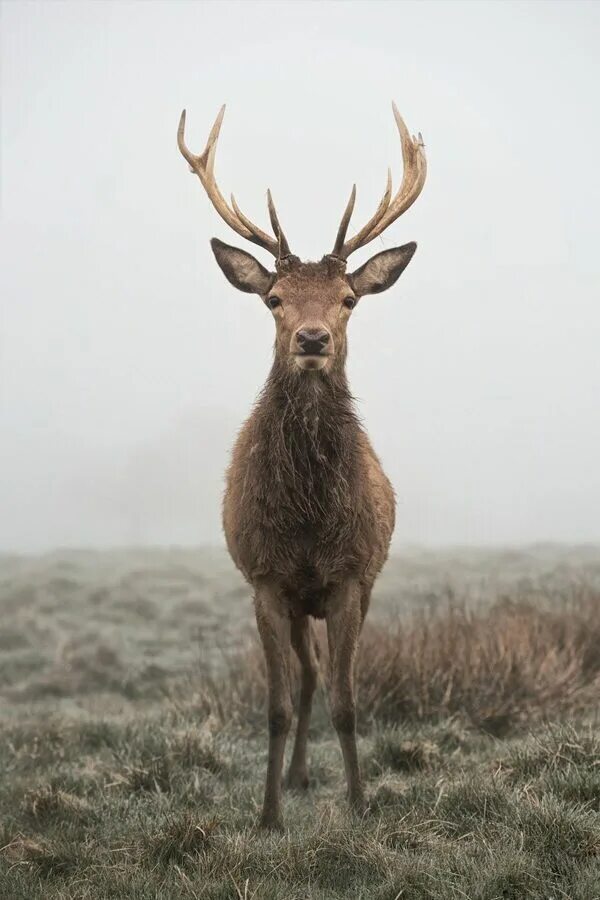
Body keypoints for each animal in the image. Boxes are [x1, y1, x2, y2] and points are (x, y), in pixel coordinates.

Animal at [177, 100, 426, 828]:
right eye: (274, 299)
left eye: (348, 298)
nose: (312, 339)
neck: (312, 521)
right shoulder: (265, 579)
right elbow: (277, 707)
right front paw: (267, 815)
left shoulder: (350, 578)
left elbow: (347, 702)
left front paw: (361, 804)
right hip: (293, 604)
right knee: (307, 676)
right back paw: (293, 777)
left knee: (324, 678)